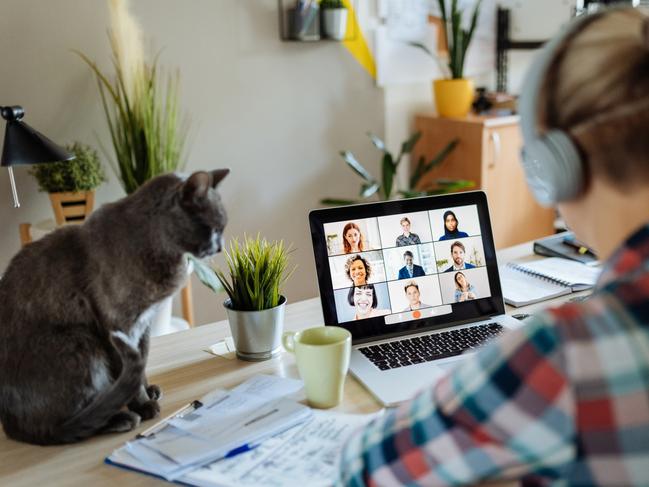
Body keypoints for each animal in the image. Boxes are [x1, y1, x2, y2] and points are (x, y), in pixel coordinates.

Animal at [0, 170, 228, 444]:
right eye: (214, 228)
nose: (220, 247)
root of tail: (10, 425)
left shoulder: (143, 325)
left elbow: (141, 362)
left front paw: (148, 390)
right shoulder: (117, 325)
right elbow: (129, 367)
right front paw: (143, 405)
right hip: (81, 341)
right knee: (62, 427)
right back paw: (121, 418)